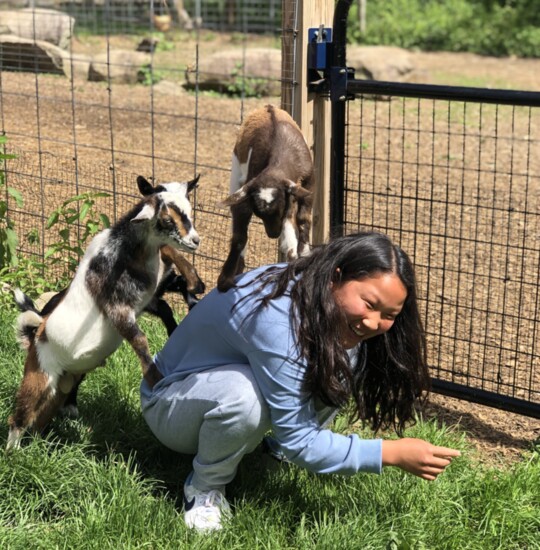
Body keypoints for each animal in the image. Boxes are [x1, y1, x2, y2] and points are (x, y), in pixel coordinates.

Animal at [6, 179, 201, 450]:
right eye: (167, 219)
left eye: (189, 211)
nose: (195, 240)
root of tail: (36, 335)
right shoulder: (118, 308)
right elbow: (139, 340)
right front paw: (158, 380)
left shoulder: (149, 294)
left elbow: (169, 273)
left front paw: (195, 286)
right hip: (39, 375)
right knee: (20, 416)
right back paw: (13, 453)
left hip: (60, 388)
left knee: (39, 419)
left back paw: (37, 446)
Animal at [216, 103, 314, 294]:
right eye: (259, 214)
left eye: (279, 210)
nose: (273, 234)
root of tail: (268, 106)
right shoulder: (250, 185)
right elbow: (239, 234)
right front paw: (225, 279)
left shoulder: (304, 185)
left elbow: (302, 219)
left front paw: (302, 255)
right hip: (236, 171)